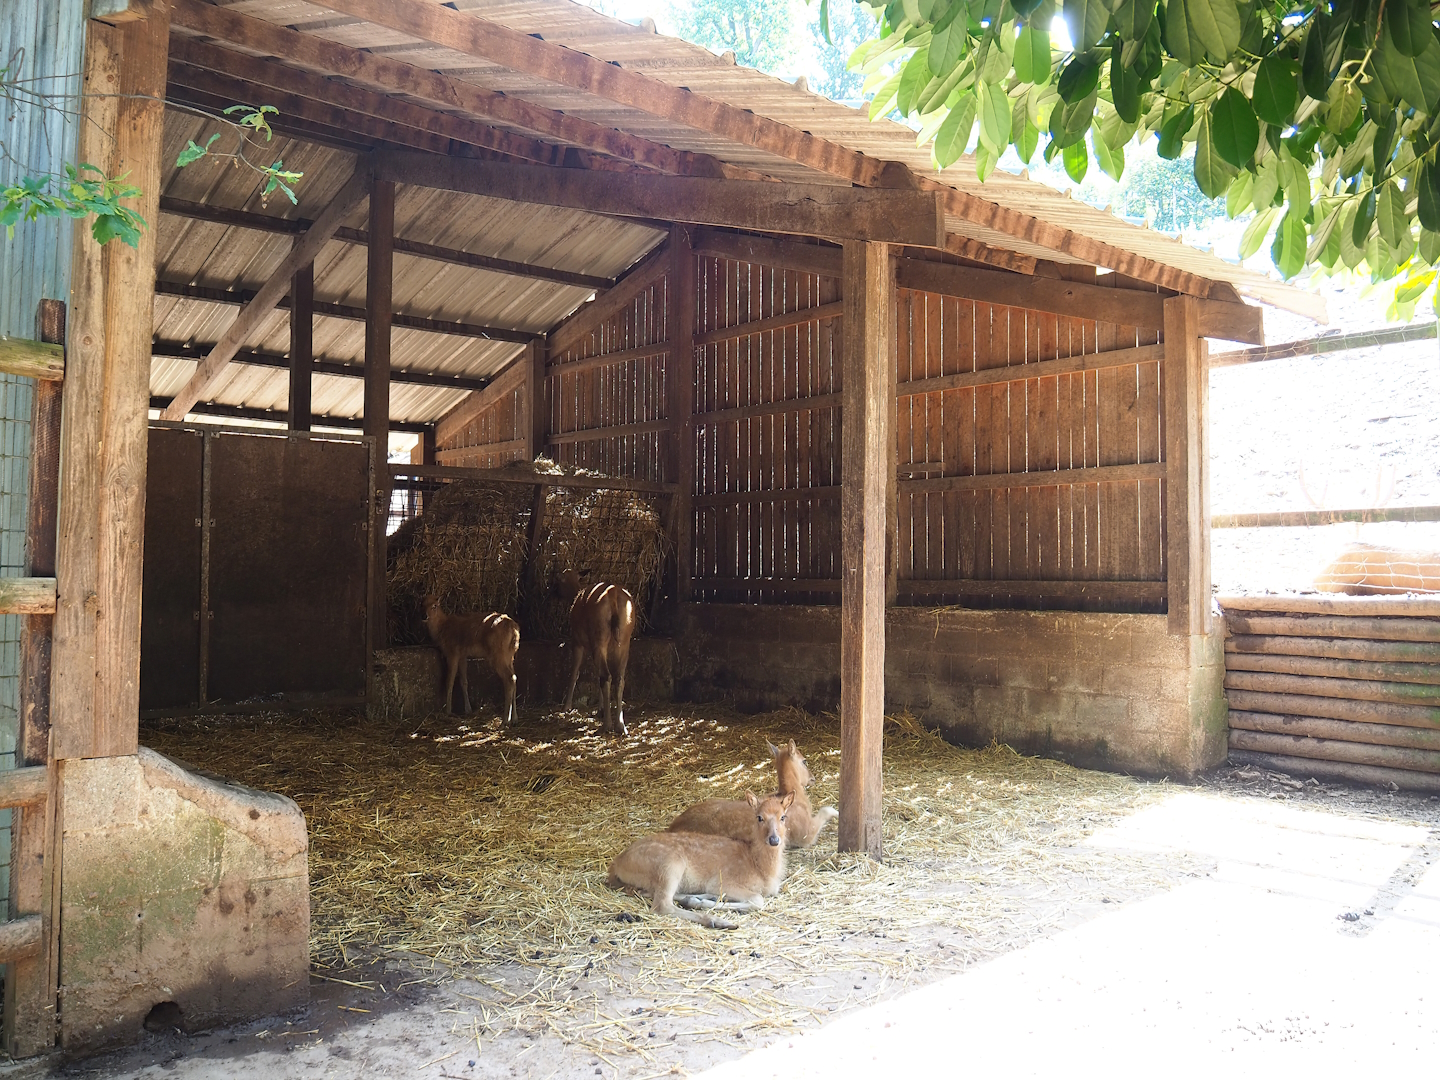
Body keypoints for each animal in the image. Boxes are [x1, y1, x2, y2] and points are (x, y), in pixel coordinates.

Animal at [558, 569, 634, 736]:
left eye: (558, 580)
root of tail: (613, 595)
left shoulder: (577, 641)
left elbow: (575, 673)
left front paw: (566, 706)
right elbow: (595, 675)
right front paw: (600, 708)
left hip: (599, 636)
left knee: (606, 676)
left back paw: (607, 725)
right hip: (624, 640)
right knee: (618, 678)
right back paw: (620, 725)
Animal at [607, 791, 794, 929]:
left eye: (783, 817)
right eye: (759, 817)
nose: (774, 840)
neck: (760, 867)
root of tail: (616, 864)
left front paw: (701, 899)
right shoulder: (722, 881)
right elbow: (757, 899)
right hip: (669, 865)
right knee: (662, 905)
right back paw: (717, 921)